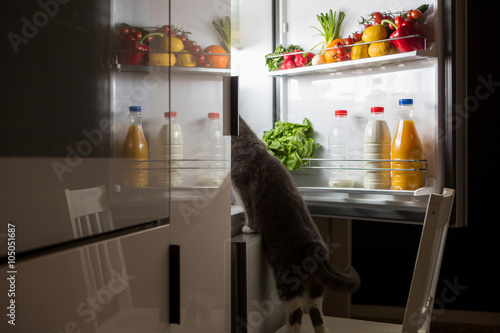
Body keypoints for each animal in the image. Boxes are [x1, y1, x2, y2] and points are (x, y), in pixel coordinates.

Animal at [230, 116, 360, 332]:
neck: (244, 139)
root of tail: (314, 247)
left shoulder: (244, 190)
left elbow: (250, 212)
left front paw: (248, 228)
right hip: (315, 286)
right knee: (316, 313)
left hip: (287, 279)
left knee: (296, 313)